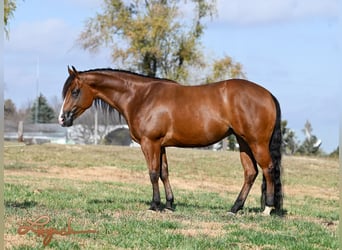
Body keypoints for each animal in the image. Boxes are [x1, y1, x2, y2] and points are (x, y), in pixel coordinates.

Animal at [59, 66, 284, 215]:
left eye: (75, 91)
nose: (62, 118)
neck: (141, 96)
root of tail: (269, 95)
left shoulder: (149, 143)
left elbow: (152, 173)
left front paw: (154, 205)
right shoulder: (161, 145)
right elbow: (164, 173)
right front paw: (168, 204)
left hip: (256, 143)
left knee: (268, 169)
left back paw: (268, 209)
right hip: (243, 142)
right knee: (251, 173)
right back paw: (234, 208)